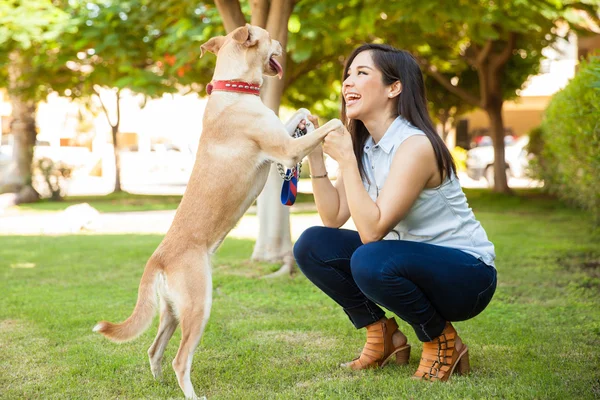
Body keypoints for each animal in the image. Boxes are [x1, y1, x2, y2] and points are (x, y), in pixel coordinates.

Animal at [90, 24, 342, 400]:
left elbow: (294, 112)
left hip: (171, 311)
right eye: (269, 36)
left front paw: (306, 118)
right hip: (199, 306)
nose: (282, 44)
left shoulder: (280, 139)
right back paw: (191, 393)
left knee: (153, 349)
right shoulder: (285, 148)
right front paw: (333, 123)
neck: (234, 90)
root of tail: (158, 258)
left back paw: (159, 383)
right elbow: (328, 125)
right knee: (180, 359)